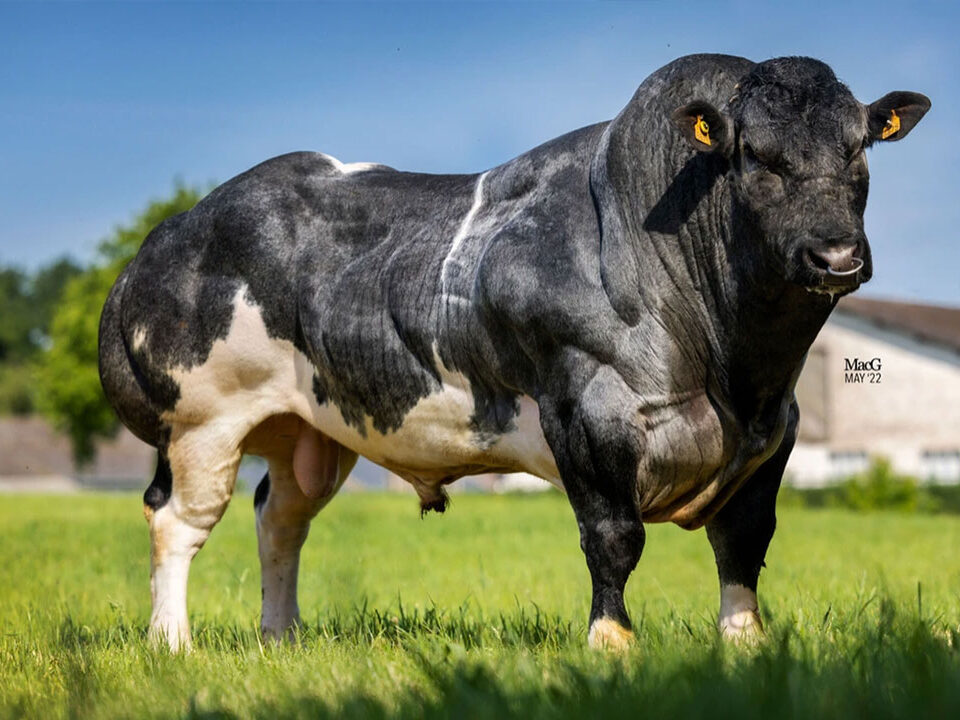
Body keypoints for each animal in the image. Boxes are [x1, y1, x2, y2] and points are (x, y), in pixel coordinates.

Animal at [98, 54, 930, 652]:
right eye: (756, 156)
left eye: (859, 149)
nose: (836, 256)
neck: (735, 367)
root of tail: (172, 232)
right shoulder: (588, 410)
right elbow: (613, 537)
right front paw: (610, 643)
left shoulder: (773, 433)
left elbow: (744, 542)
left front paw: (745, 644)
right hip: (203, 420)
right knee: (177, 521)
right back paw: (172, 644)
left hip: (310, 430)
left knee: (280, 520)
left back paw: (282, 638)